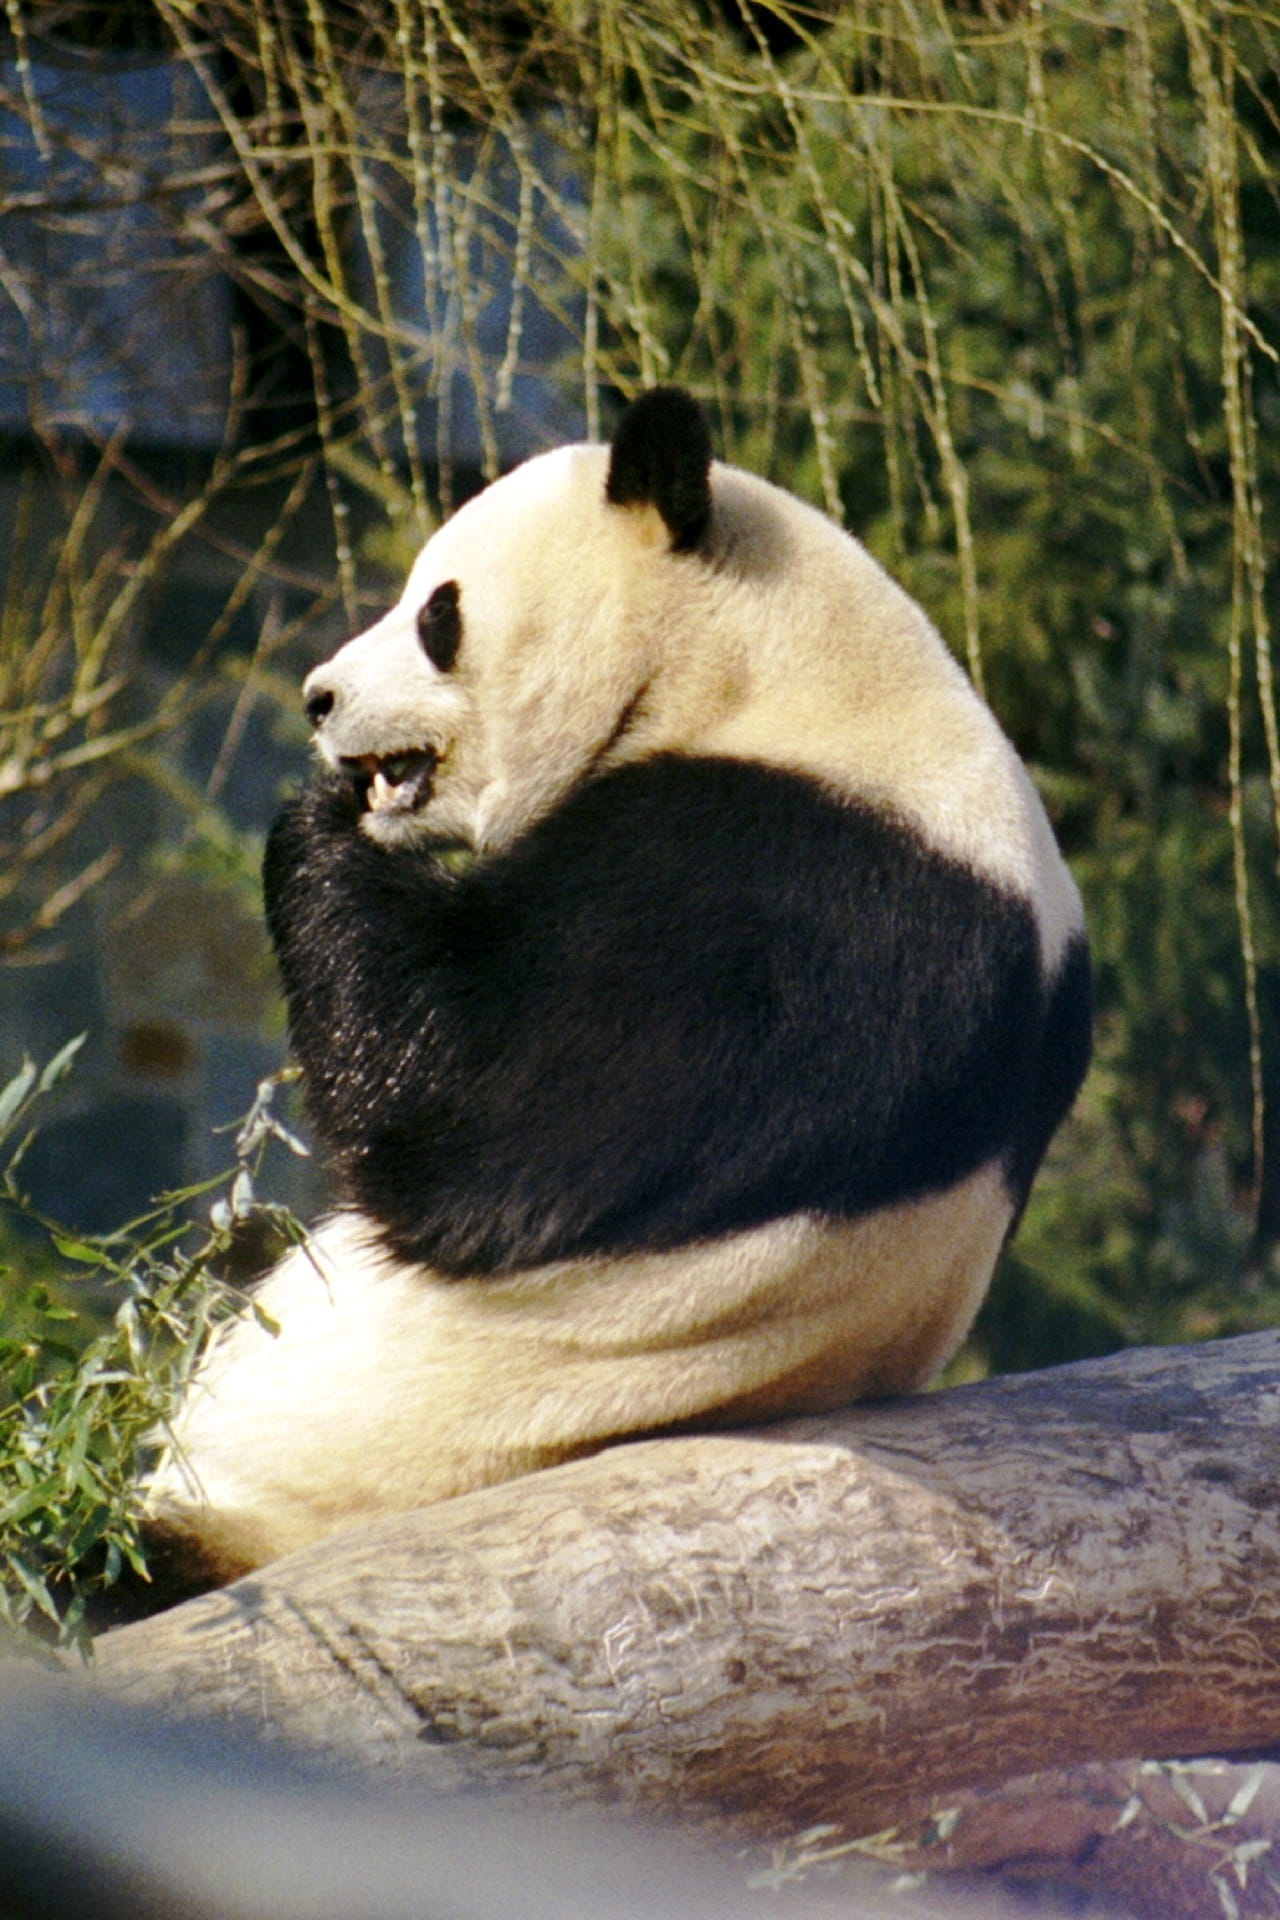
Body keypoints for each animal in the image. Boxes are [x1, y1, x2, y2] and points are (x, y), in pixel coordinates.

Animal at [146, 387, 1090, 1584]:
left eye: (438, 613)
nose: (318, 699)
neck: (768, 668)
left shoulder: (803, 889)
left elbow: (484, 1129)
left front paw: (322, 820)